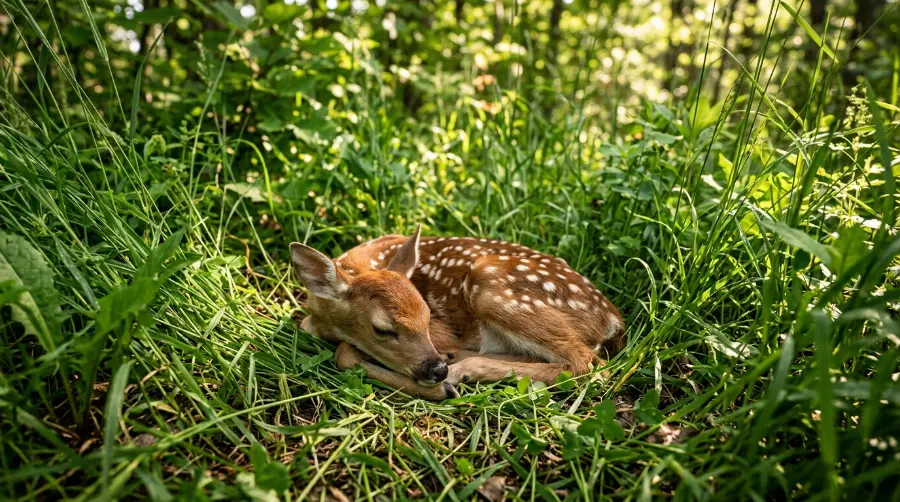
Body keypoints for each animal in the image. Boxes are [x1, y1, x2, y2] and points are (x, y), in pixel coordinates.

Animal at [291, 225, 625, 400]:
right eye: (383, 330)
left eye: (428, 317)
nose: (436, 369)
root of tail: (612, 318)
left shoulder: (444, 332)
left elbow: (345, 353)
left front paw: (442, 386)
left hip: (492, 287)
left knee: (588, 364)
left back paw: (459, 371)